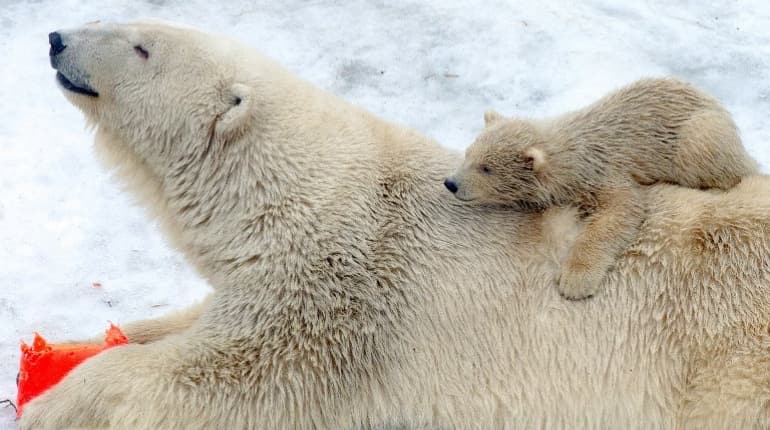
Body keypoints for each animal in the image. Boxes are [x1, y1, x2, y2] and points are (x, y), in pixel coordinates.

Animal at [445, 78, 758, 300]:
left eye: (486, 168)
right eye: (468, 154)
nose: (451, 183)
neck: (569, 153)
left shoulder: (602, 170)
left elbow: (621, 209)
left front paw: (574, 280)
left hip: (697, 135)